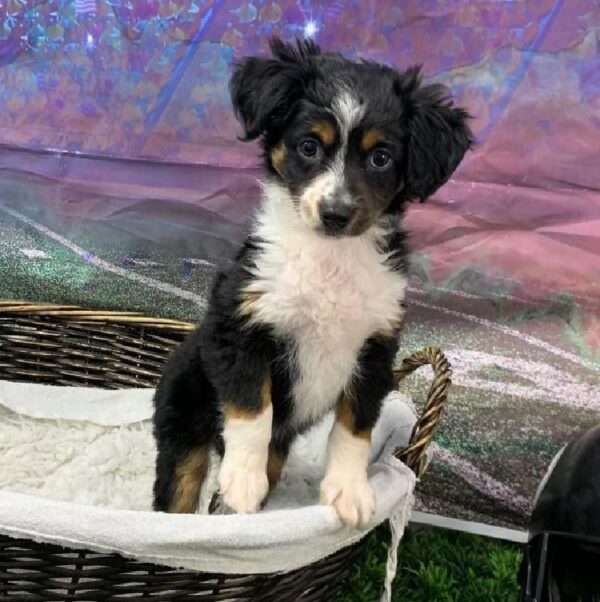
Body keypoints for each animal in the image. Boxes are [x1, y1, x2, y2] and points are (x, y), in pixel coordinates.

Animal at [152, 38, 472, 524]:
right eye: (309, 147)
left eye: (381, 158)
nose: (335, 213)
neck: (329, 260)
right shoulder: (240, 325)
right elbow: (252, 406)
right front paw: (242, 479)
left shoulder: (375, 348)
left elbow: (355, 425)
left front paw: (349, 492)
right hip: (184, 415)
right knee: (180, 488)